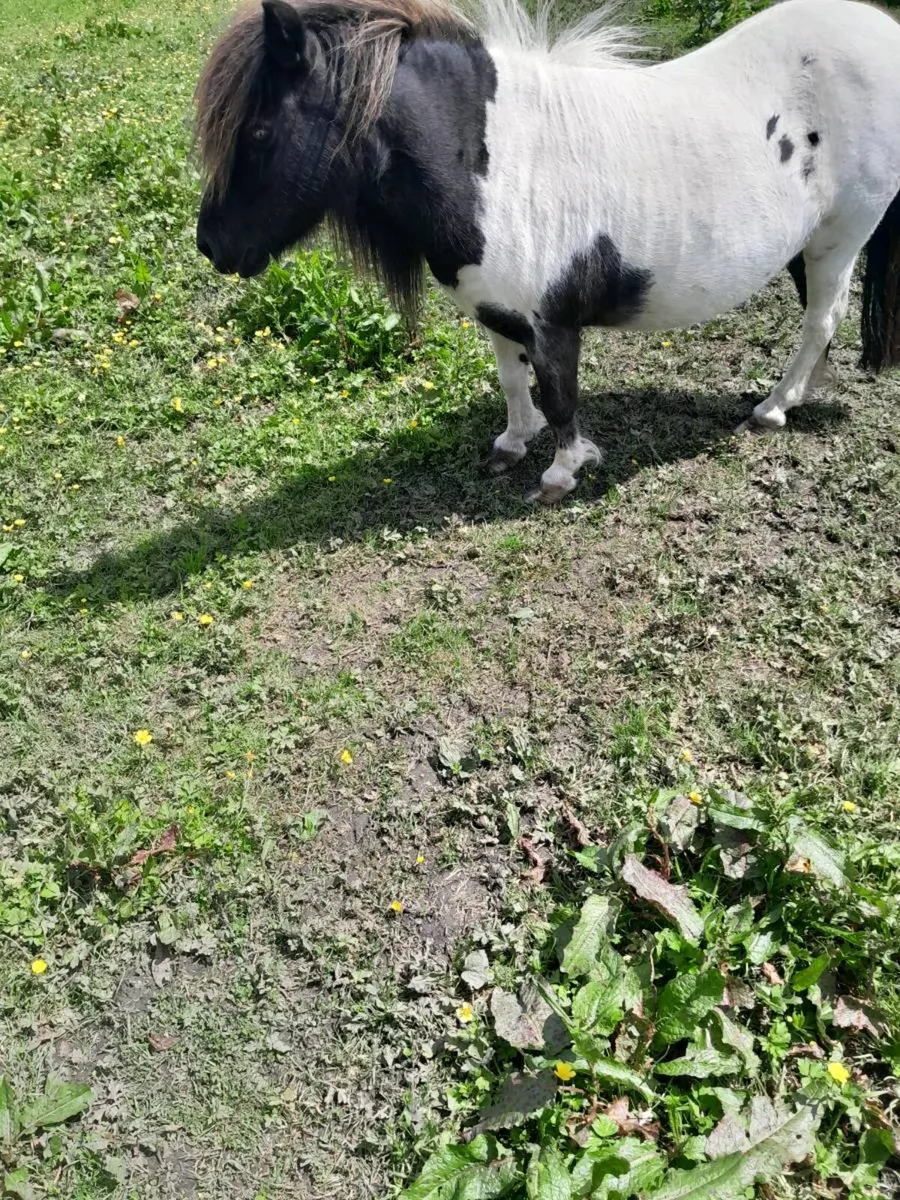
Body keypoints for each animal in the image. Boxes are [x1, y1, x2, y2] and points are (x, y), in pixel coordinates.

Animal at [194, 0, 900, 504]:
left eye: (259, 131)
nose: (211, 246)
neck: (492, 162)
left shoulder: (552, 321)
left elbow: (561, 394)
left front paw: (562, 474)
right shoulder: (498, 311)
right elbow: (513, 378)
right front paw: (512, 442)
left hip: (842, 236)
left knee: (821, 321)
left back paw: (772, 409)